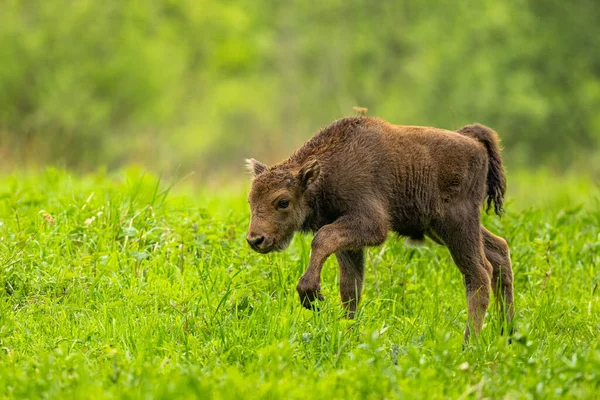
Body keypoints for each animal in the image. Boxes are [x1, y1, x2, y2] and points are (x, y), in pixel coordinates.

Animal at [244, 117, 510, 342]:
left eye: (283, 201)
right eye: (250, 200)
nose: (255, 239)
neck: (328, 170)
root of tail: (473, 142)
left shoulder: (371, 224)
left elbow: (322, 239)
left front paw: (311, 294)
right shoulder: (349, 243)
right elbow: (350, 288)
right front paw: (349, 336)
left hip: (457, 226)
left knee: (478, 273)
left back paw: (470, 343)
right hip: (442, 228)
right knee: (499, 251)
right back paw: (507, 333)